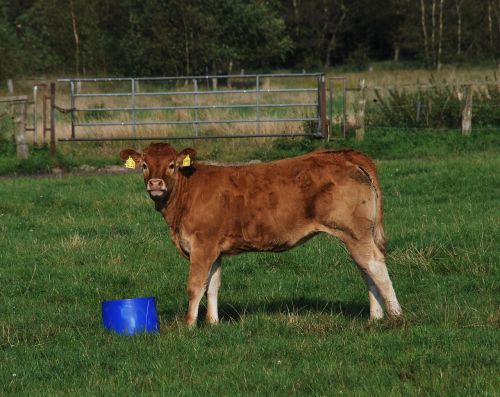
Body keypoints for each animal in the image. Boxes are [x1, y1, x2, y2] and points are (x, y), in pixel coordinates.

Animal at [120, 142, 402, 324]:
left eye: (171, 165)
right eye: (144, 165)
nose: (155, 183)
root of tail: (343, 154)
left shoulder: (201, 246)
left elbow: (195, 286)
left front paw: (188, 326)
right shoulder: (215, 249)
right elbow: (213, 286)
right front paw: (212, 323)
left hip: (355, 232)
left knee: (375, 265)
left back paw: (396, 316)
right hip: (355, 235)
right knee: (366, 269)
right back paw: (375, 317)